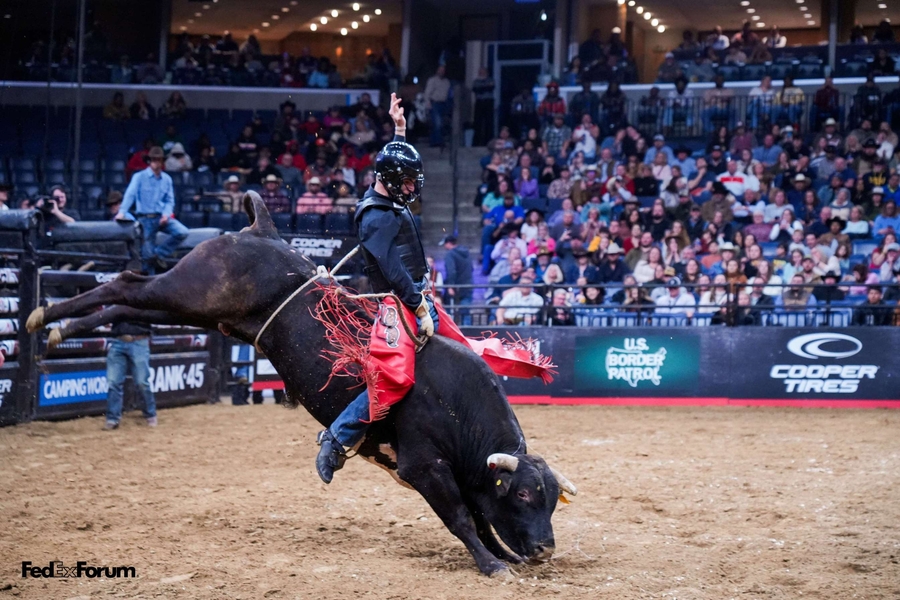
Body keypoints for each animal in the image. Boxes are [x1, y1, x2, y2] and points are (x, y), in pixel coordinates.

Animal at [28, 193, 580, 576]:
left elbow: (480, 516)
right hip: (193, 287)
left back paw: (55, 327)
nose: (545, 548)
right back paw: (44, 318)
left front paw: (502, 555)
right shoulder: (424, 466)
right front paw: (493, 564)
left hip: (197, 309)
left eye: (552, 498)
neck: (457, 405)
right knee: (126, 283)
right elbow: (464, 518)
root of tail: (258, 231)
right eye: (525, 494)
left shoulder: (463, 475)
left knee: (126, 303)